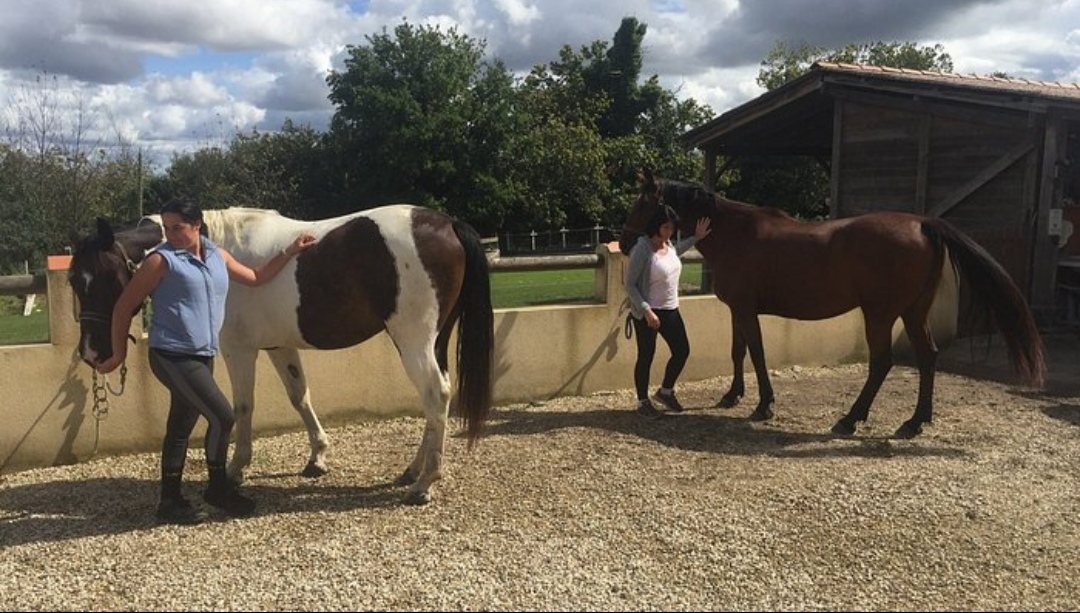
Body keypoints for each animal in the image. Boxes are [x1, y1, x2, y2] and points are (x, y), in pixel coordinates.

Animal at [68, 204, 495, 505]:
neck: (217, 252)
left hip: (413, 340)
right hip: (433, 340)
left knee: (435, 395)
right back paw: (412, 470)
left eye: (104, 277)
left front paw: (236, 469)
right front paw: (317, 458)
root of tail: (447, 224)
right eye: (73, 280)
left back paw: (425, 483)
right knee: (436, 398)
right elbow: (299, 396)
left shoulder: (239, 350)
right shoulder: (279, 346)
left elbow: (243, 407)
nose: (91, 352)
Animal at [619, 169, 1046, 438]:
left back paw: (850, 419)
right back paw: (915, 422)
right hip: (914, 312)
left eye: (642, 205)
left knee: (882, 363)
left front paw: (764, 405)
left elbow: (756, 353)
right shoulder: (738, 310)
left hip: (880, 314)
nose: (622, 243)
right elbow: (739, 351)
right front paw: (731, 396)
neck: (734, 234)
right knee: (928, 357)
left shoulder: (744, 309)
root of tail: (924, 224)